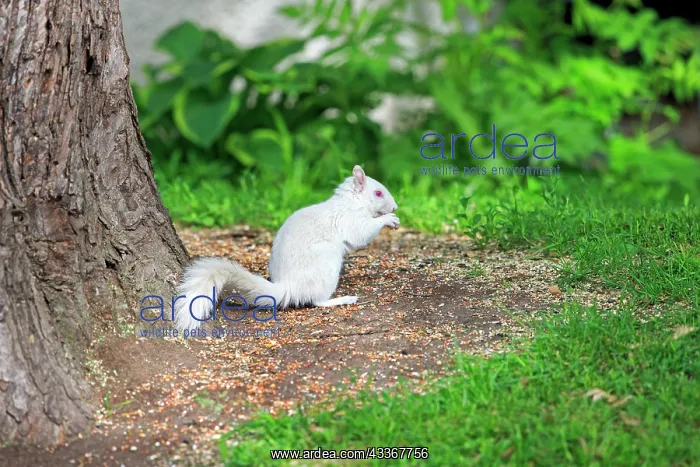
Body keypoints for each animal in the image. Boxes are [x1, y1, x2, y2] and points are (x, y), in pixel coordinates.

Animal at [173, 165, 400, 331]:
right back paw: (343, 299)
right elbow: (361, 233)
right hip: (327, 269)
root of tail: (288, 287)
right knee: (317, 301)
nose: (396, 207)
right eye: (378, 193)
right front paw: (389, 219)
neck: (352, 202)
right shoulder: (350, 220)